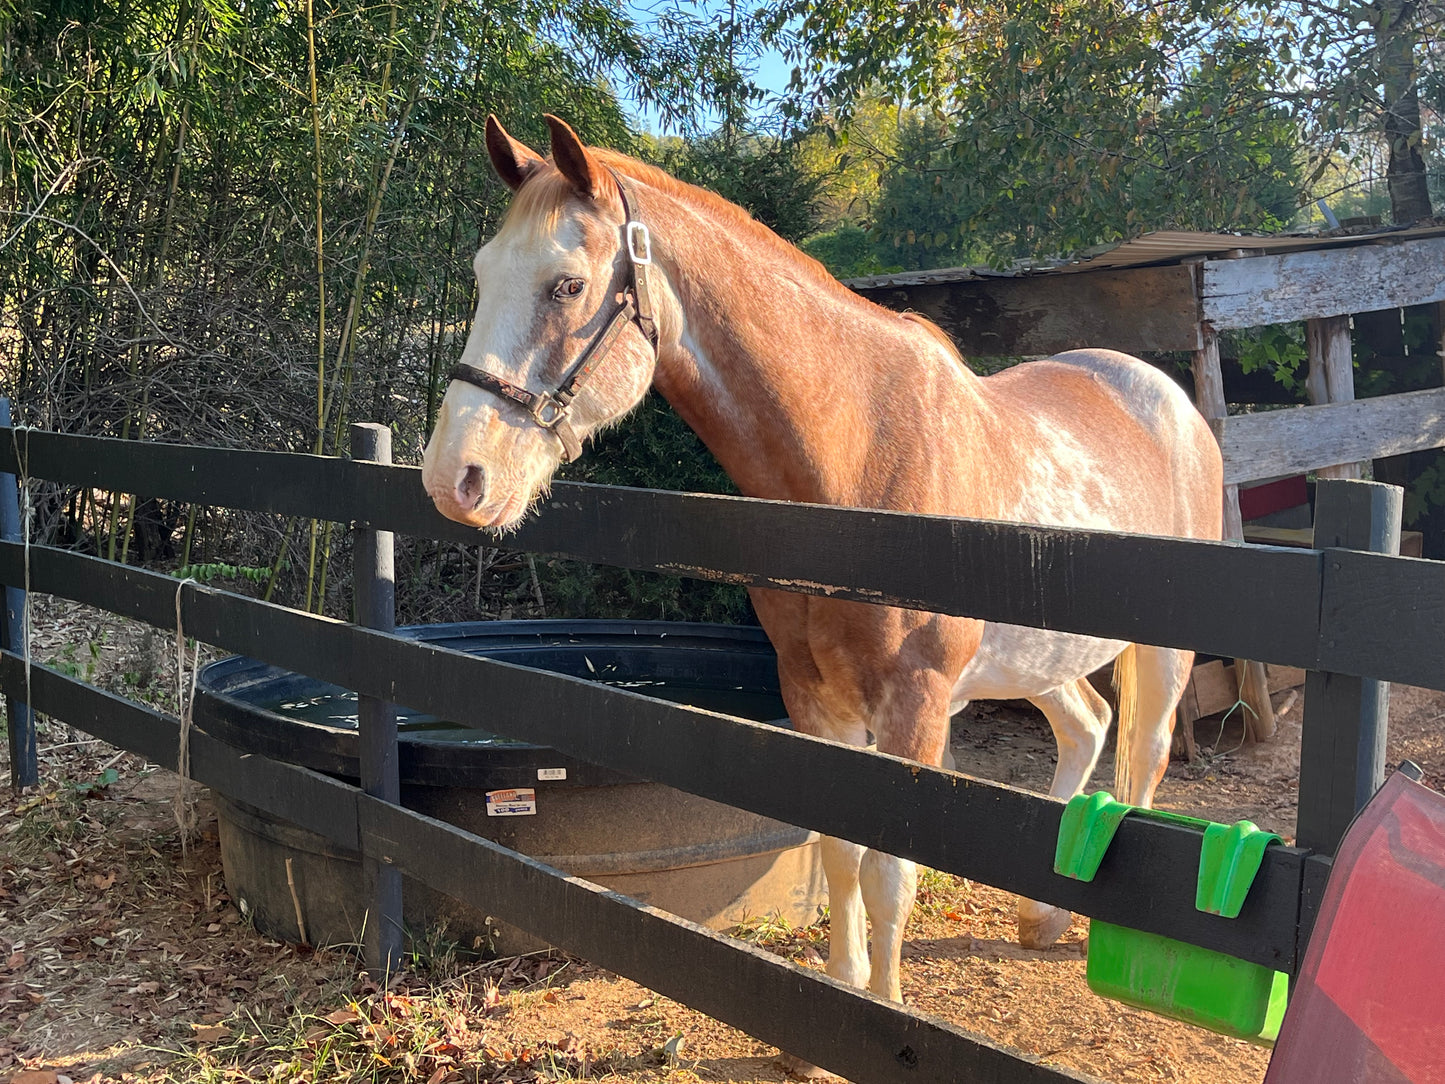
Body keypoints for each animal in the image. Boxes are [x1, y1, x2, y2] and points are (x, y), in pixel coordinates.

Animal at [419, 110, 1219, 1034]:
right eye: (482, 276)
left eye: (567, 286)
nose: (455, 477)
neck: (857, 463)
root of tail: (1165, 396)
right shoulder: (813, 697)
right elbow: (840, 856)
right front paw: (833, 1007)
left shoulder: (915, 709)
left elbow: (890, 875)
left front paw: (887, 1013)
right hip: (1037, 657)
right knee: (1087, 726)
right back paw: (1042, 917)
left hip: (1159, 656)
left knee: (1145, 754)